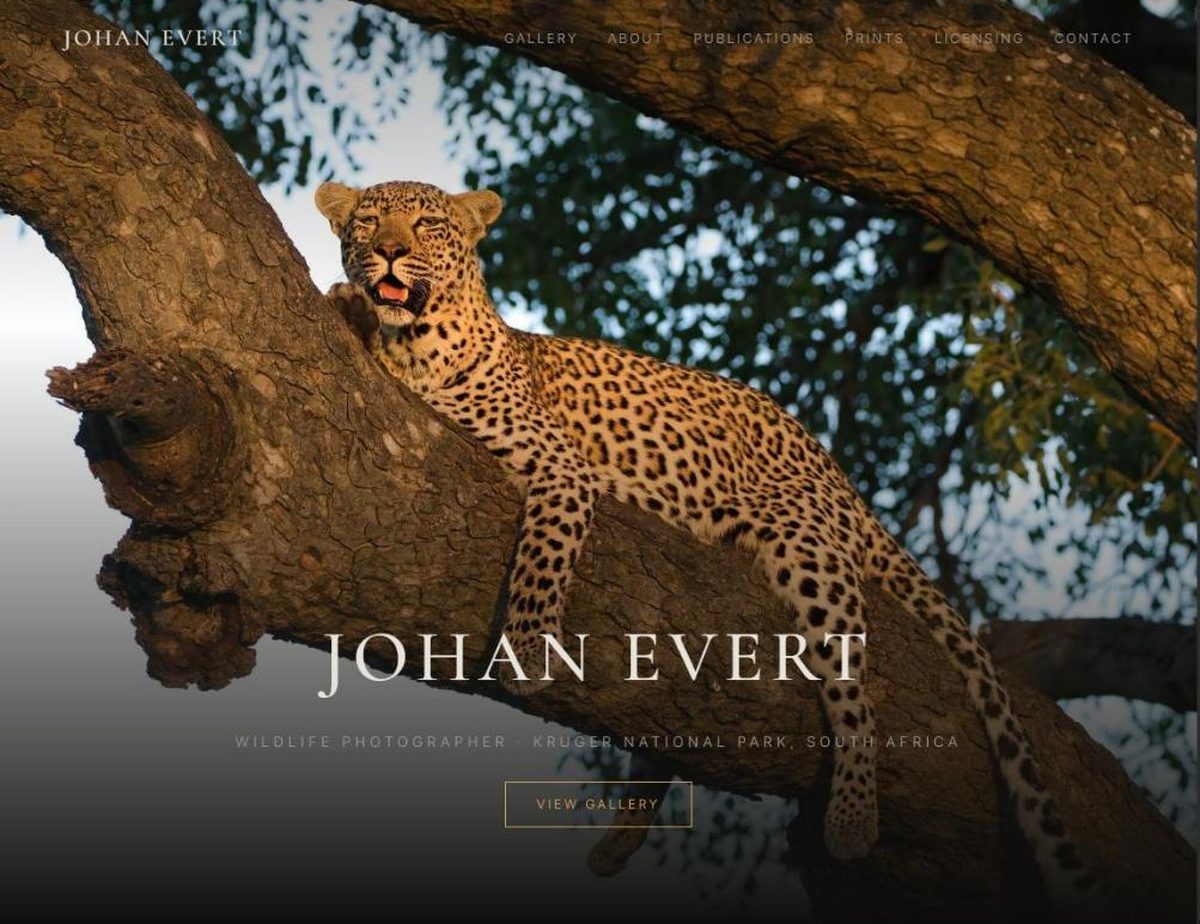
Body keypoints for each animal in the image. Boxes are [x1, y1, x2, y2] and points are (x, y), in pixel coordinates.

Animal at [315, 178, 1099, 909]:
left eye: (427, 223)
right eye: (367, 221)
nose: (388, 251)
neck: (417, 344)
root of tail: (838, 474)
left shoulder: (562, 470)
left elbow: (543, 559)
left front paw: (530, 654)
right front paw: (343, 300)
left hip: (807, 548)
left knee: (854, 687)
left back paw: (852, 815)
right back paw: (619, 842)